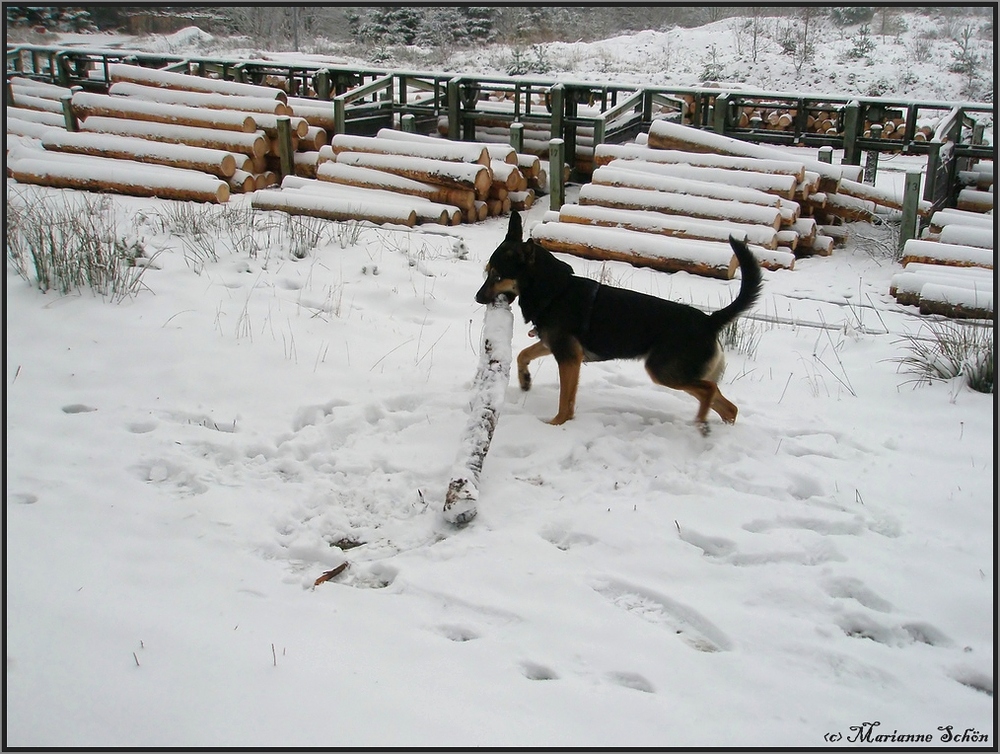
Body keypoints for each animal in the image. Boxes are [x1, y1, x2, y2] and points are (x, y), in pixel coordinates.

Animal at [476, 212, 764, 432]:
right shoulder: (554, 345)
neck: (556, 291)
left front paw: (557, 424)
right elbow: (523, 355)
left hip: (663, 371)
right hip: (679, 373)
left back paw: (701, 423)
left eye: (497, 276)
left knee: (710, 390)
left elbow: (564, 400)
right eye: (488, 273)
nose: (478, 298)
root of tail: (710, 320)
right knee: (727, 406)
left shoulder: (568, 358)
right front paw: (525, 380)